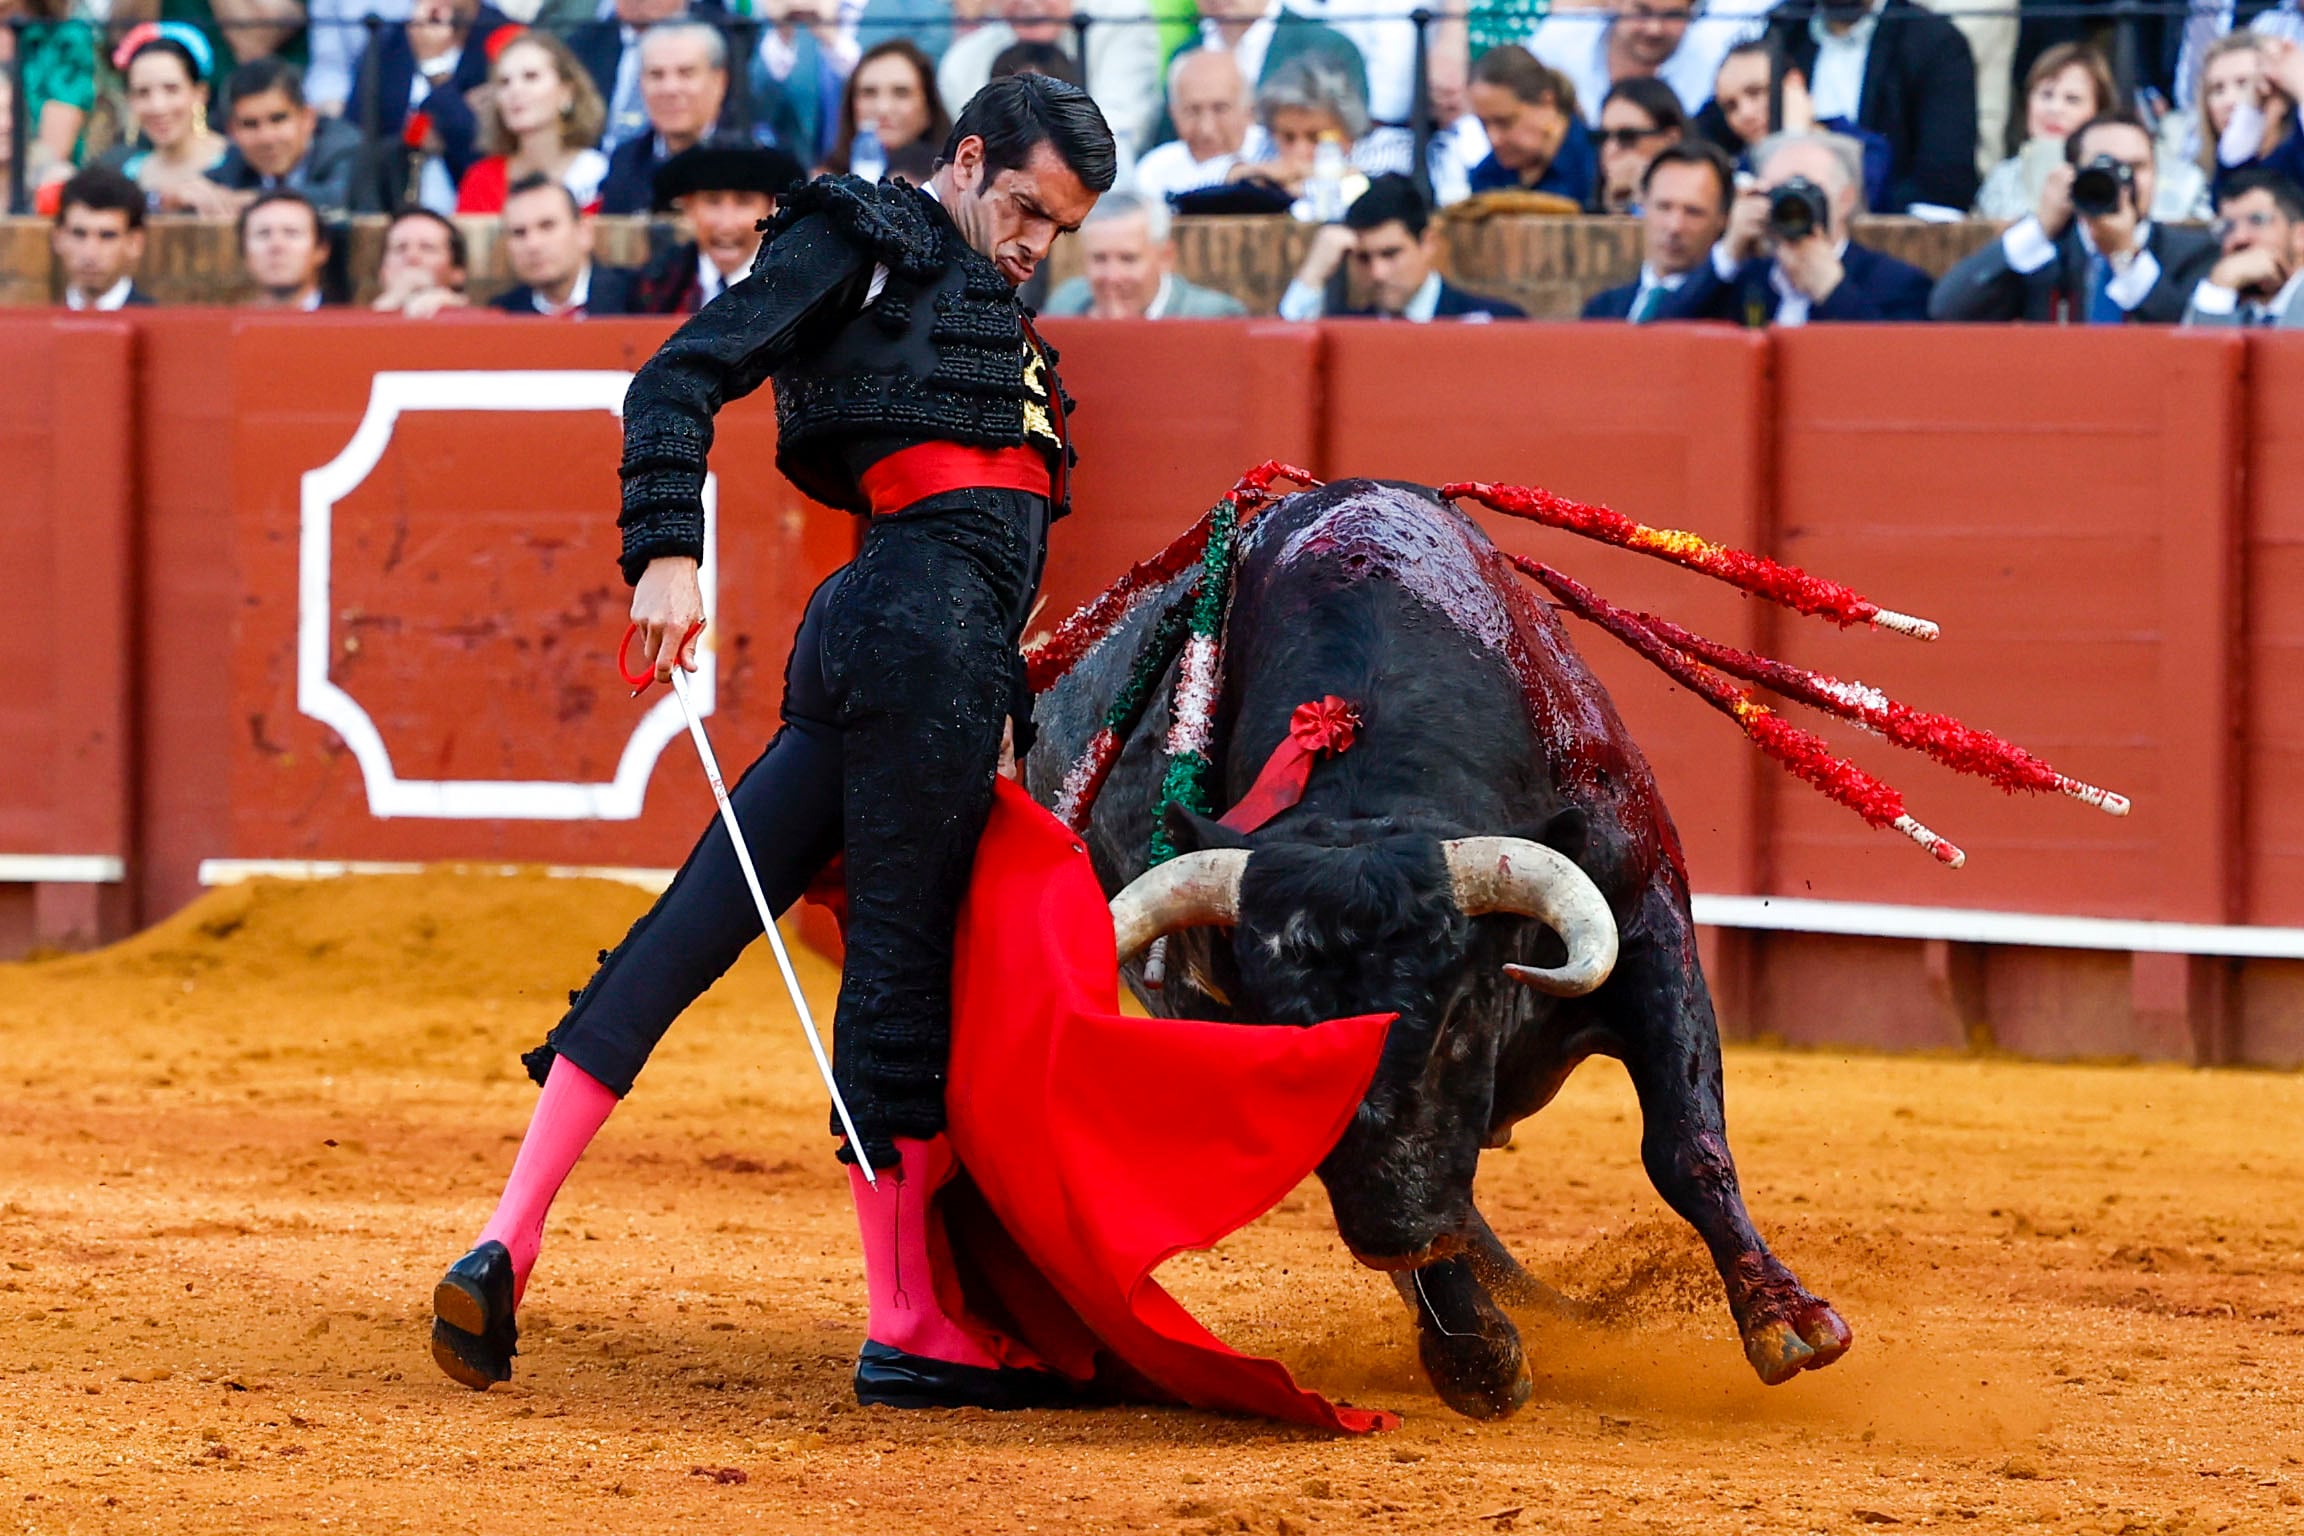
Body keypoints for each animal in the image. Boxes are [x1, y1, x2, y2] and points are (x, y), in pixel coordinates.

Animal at [1027, 476, 1852, 1418]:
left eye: (1459, 1014)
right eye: (1287, 1044)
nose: (1395, 1233)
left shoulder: (1648, 924)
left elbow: (1685, 1143)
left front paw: (1787, 1321)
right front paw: (1476, 1358)